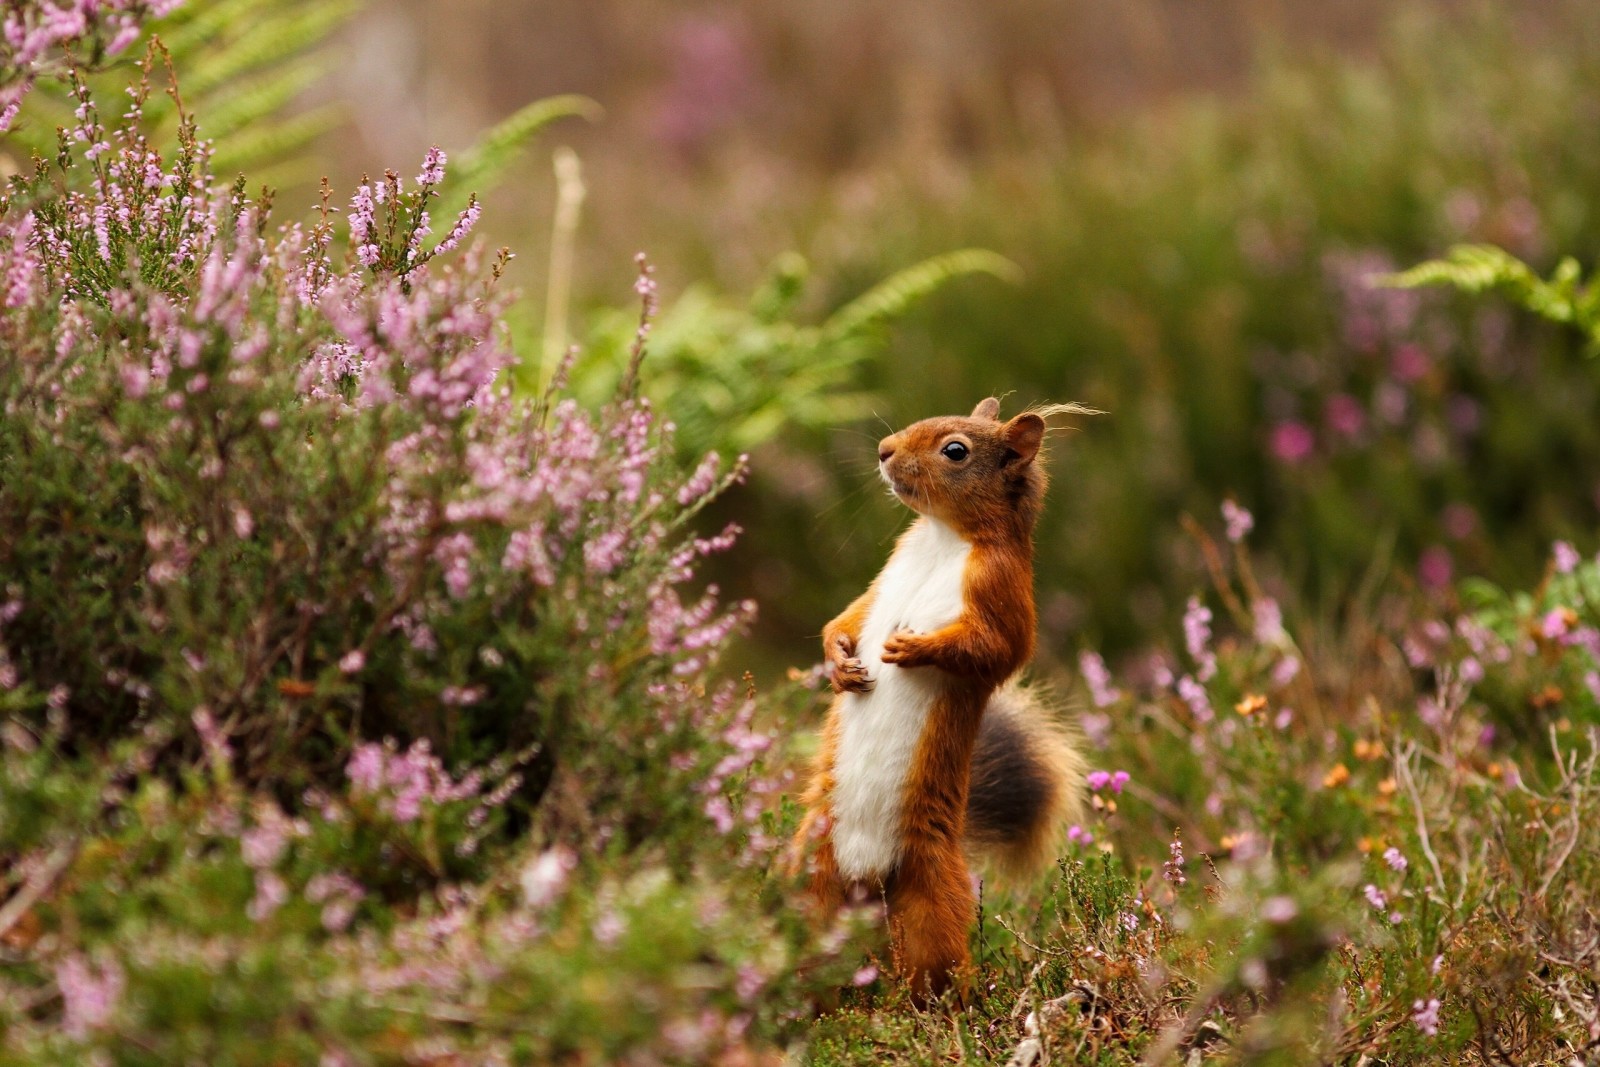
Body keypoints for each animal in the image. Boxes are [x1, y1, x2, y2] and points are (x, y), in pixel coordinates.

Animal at [796, 396, 1094, 998]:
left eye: (955, 450)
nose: (883, 450)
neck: (941, 539)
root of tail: (865, 886)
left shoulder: (1004, 595)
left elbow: (991, 649)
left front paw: (915, 647)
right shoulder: (883, 580)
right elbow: (849, 617)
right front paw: (840, 665)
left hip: (931, 897)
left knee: (938, 967)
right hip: (804, 867)